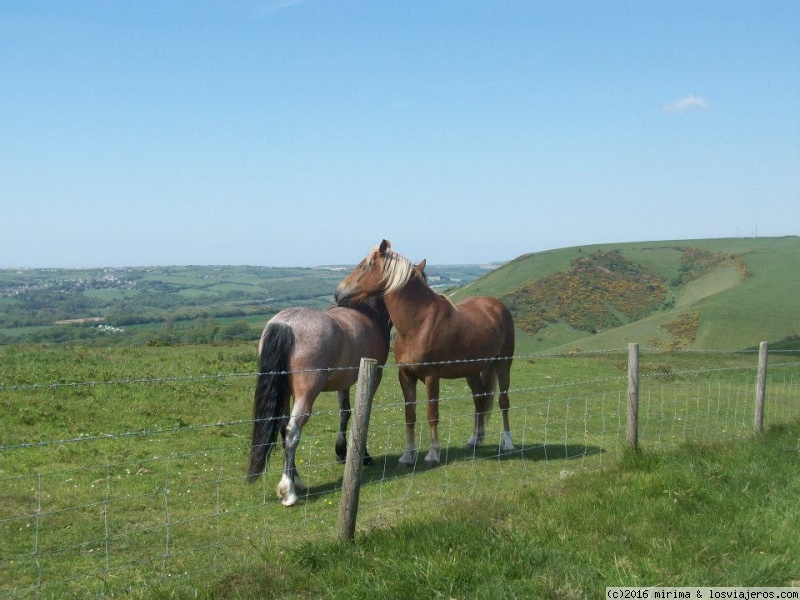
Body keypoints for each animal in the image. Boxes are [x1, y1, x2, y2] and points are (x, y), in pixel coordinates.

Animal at [247, 298, 390, 504]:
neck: (369, 312)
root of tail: (286, 323)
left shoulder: (343, 381)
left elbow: (345, 412)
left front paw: (342, 452)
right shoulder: (375, 375)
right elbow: (362, 415)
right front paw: (364, 456)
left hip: (285, 394)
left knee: (283, 429)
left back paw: (295, 479)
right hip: (305, 395)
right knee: (292, 432)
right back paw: (289, 491)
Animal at [336, 240, 512, 468]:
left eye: (364, 266)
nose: (338, 293)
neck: (418, 324)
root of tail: (497, 306)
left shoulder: (431, 377)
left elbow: (432, 414)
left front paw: (433, 454)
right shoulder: (406, 376)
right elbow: (410, 414)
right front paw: (407, 455)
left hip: (503, 364)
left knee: (503, 402)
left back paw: (508, 443)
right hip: (472, 371)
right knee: (479, 400)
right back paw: (475, 439)